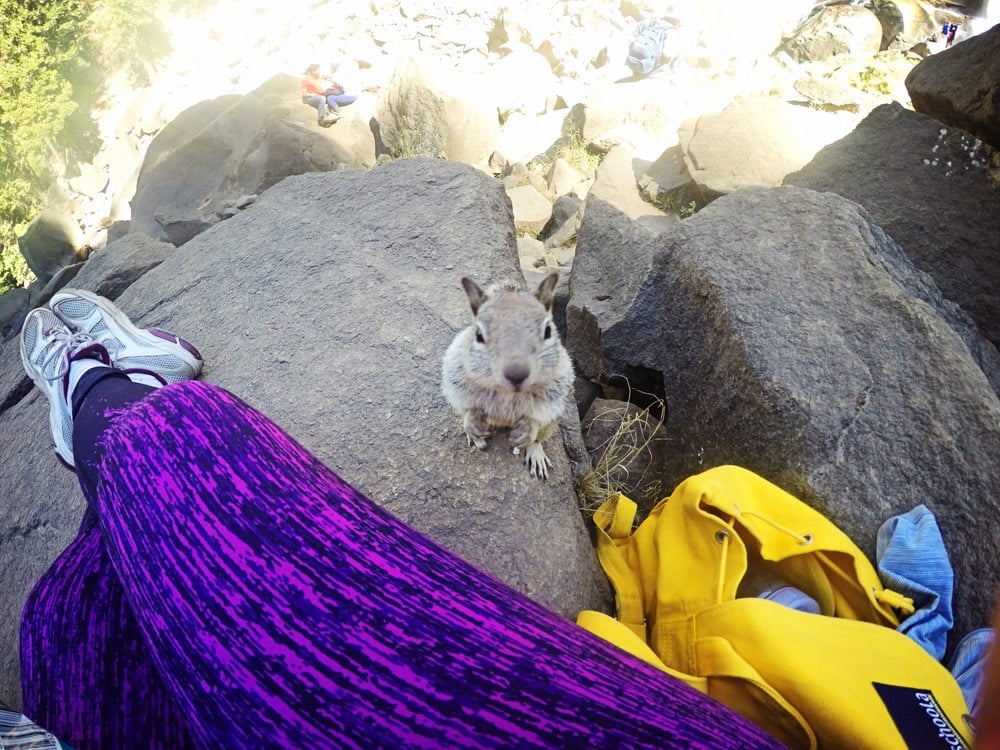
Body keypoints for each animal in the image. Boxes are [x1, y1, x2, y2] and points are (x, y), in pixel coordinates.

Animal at [442, 274, 576, 482]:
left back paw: (535, 452)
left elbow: (537, 419)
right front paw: (472, 424)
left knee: (541, 435)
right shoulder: (455, 378)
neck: (508, 393)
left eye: (548, 330)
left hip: (555, 418)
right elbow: (466, 408)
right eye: (478, 334)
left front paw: (527, 431)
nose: (516, 373)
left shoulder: (556, 391)